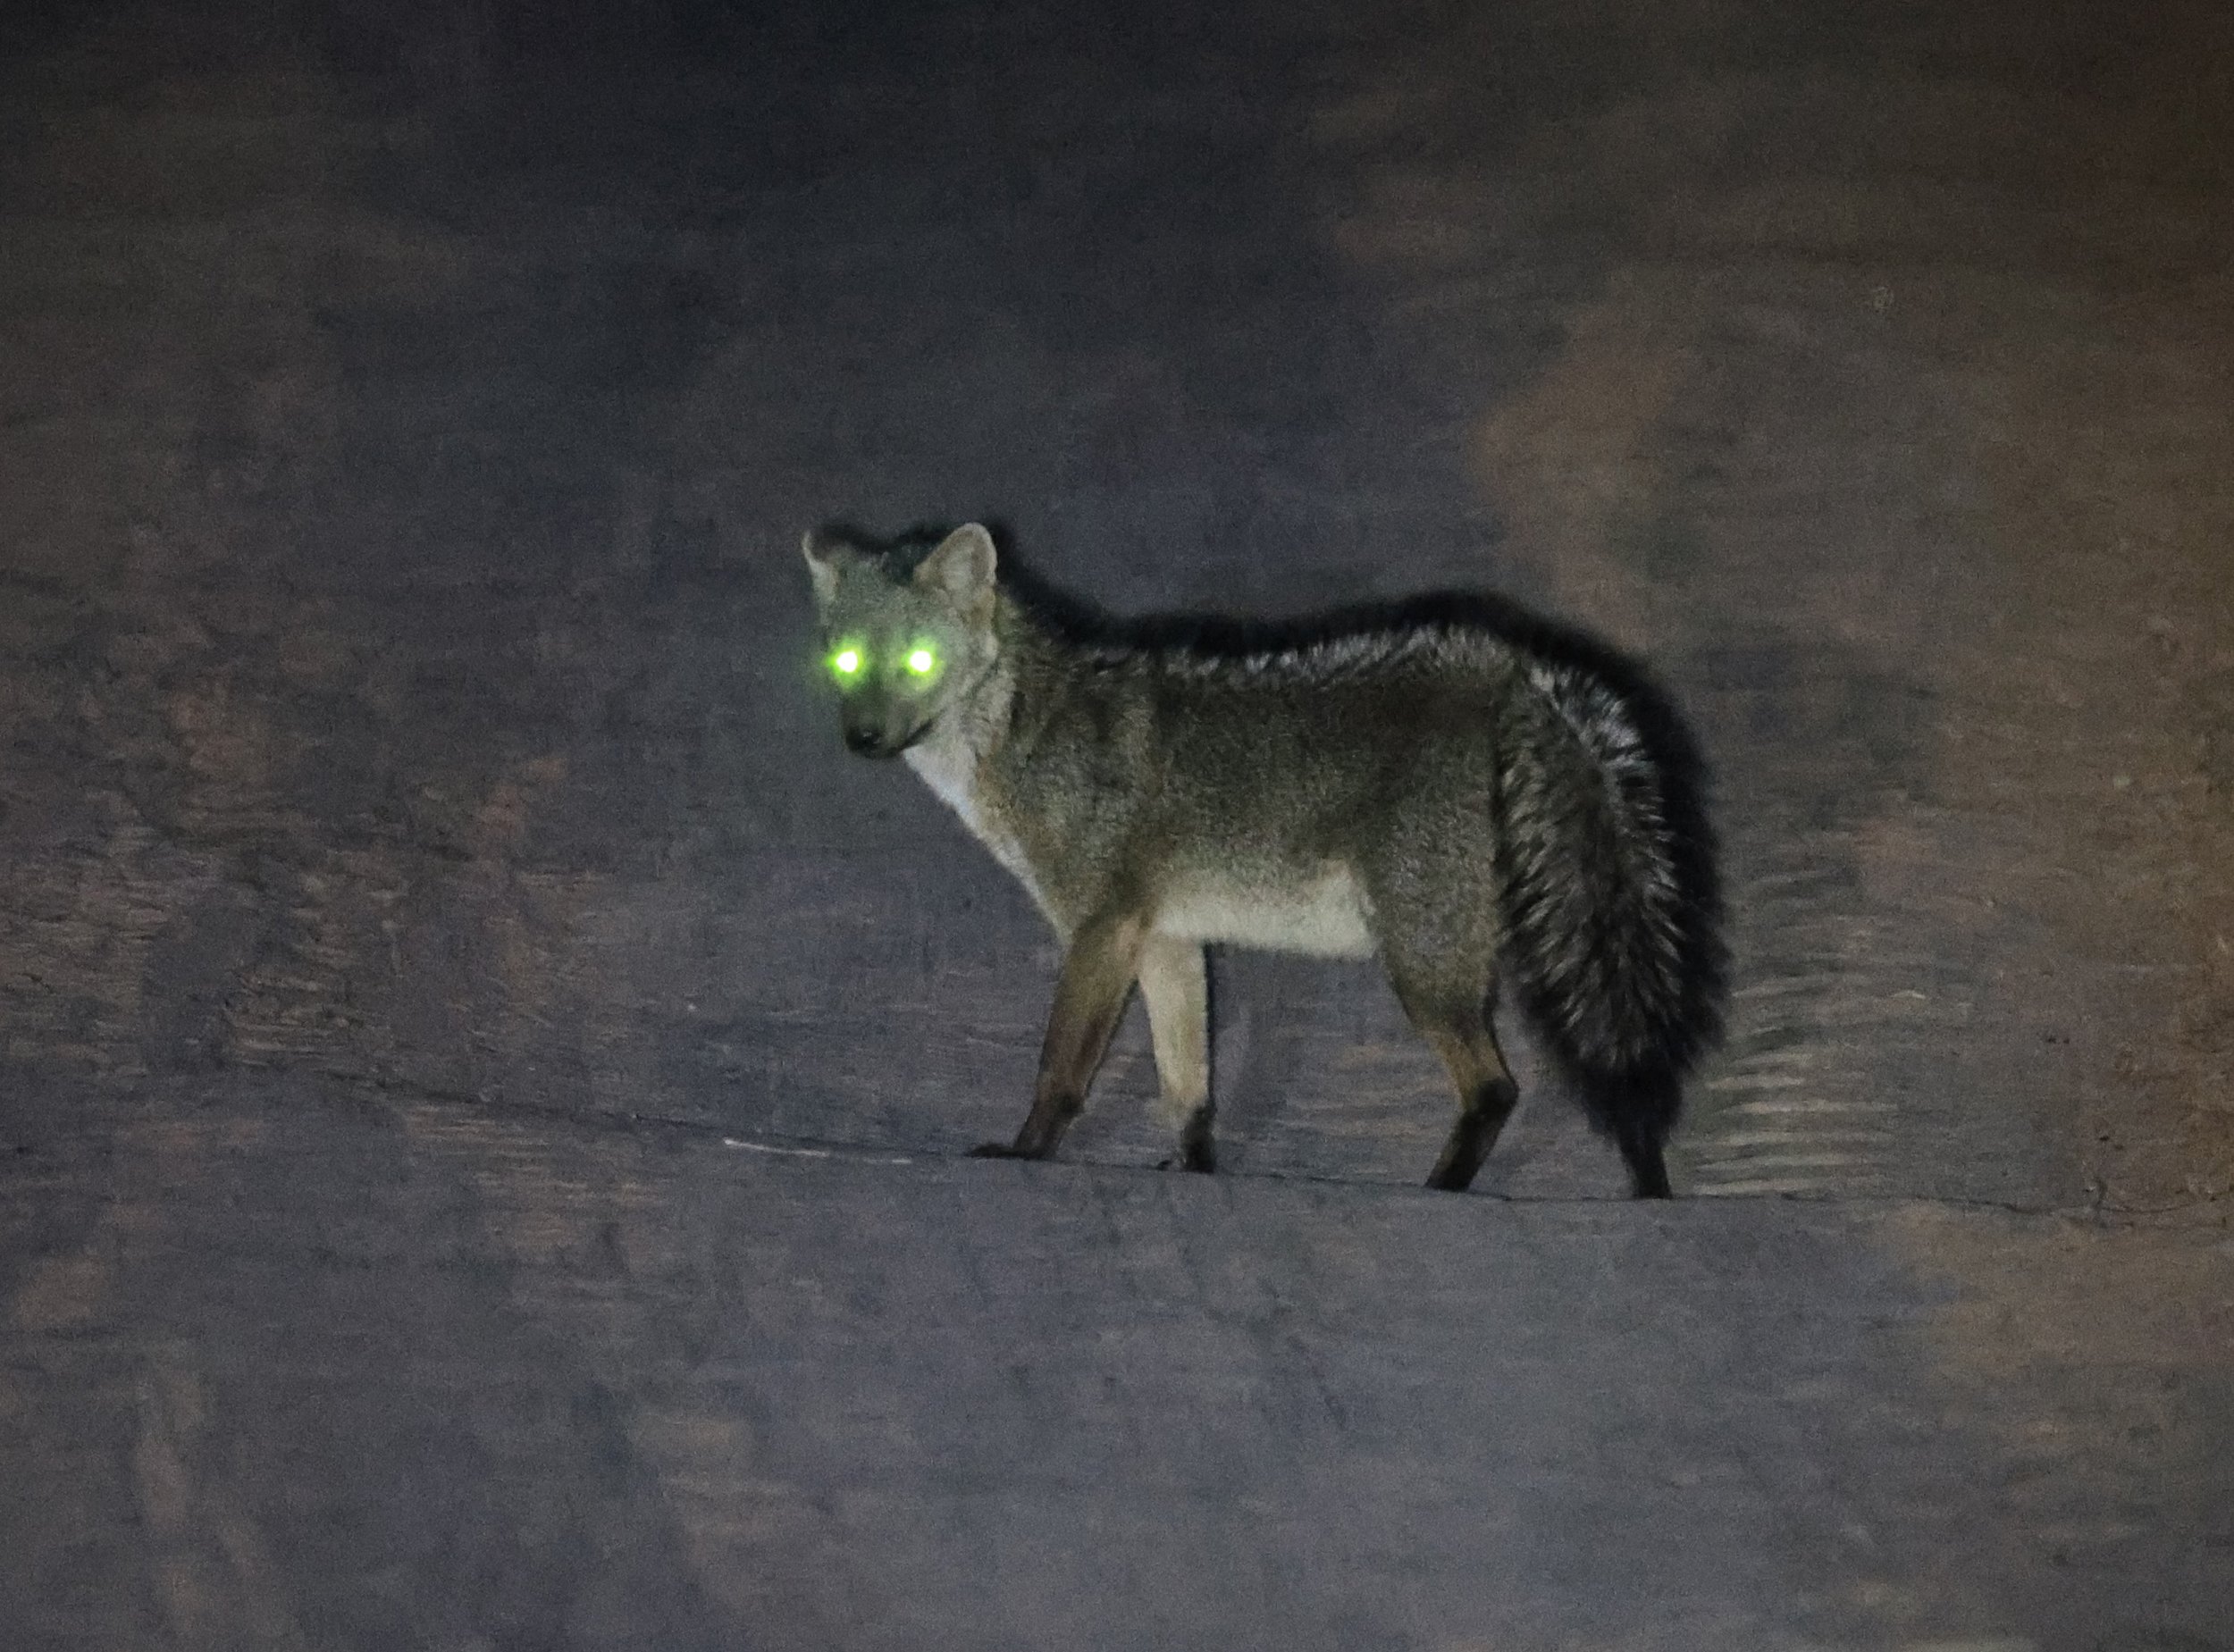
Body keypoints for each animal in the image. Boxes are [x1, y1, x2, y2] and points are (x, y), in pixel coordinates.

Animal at [802, 521, 1725, 1198]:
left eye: (917, 661)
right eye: (847, 661)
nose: (863, 738)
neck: (1026, 734)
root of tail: (1506, 670)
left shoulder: (1101, 929)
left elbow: (1060, 1070)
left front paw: (1028, 1154)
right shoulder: (1167, 940)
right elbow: (1188, 1089)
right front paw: (1197, 1176)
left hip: (1420, 967)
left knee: (1495, 1088)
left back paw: (1437, 1189)